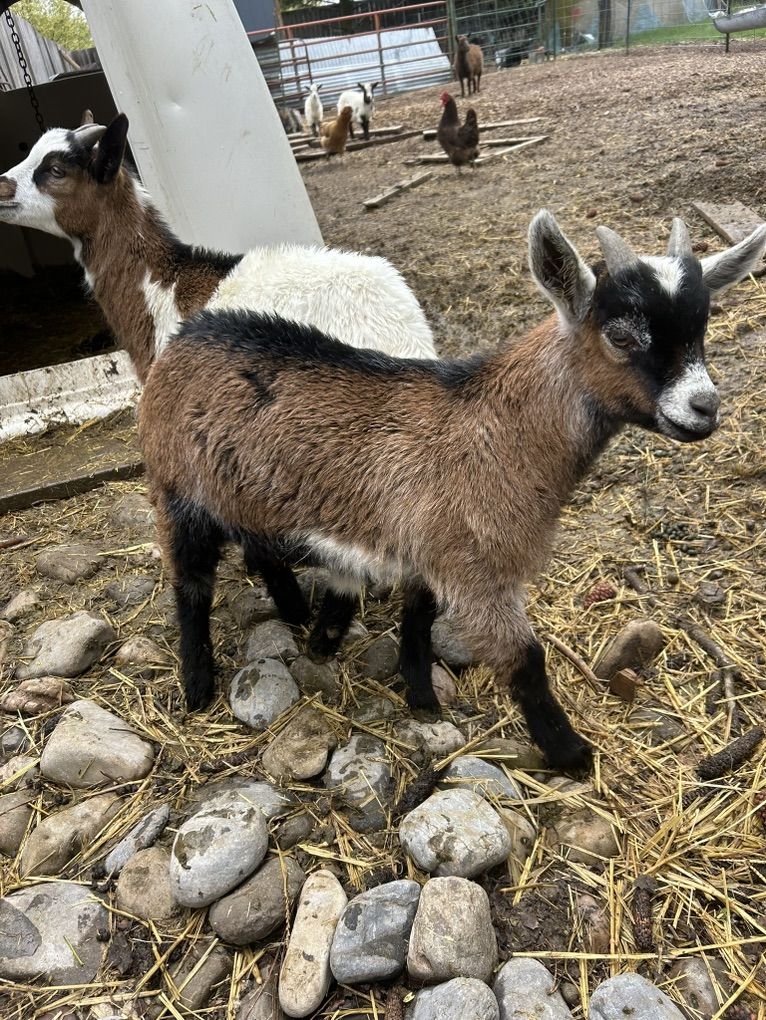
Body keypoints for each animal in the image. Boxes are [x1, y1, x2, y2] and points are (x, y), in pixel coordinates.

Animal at [138, 210, 766, 769]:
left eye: (701, 328)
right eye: (621, 335)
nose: (704, 408)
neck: (493, 431)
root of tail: (186, 337)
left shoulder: (432, 546)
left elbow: (418, 615)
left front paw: (419, 696)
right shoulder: (476, 569)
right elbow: (525, 660)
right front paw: (571, 755)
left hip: (247, 489)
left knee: (259, 542)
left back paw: (300, 618)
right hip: (175, 485)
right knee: (190, 582)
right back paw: (198, 685)